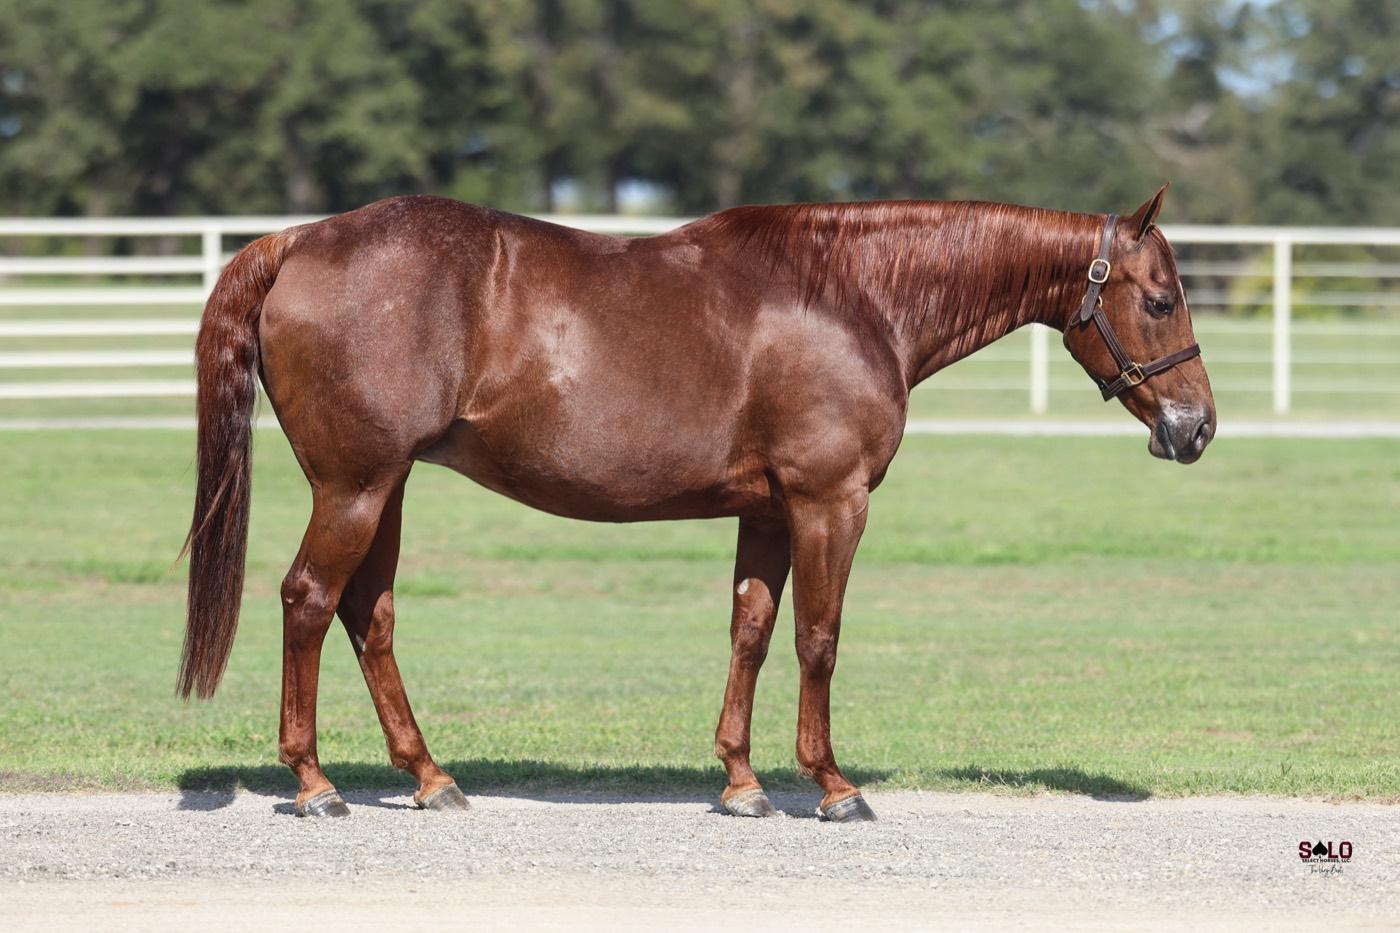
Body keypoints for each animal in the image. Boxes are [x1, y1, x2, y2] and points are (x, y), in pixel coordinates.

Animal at [180, 185, 1214, 821]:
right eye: (1162, 299)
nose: (1196, 427)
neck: (853, 296)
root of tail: (302, 240)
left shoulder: (768, 511)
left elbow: (751, 631)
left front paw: (742, 781)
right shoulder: (830, 501)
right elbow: (818, 638)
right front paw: (832, 784)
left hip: (384, 484)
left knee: (370, 613)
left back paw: (432, 776)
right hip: (354, 485)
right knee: (310, 600)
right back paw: (315, 783)